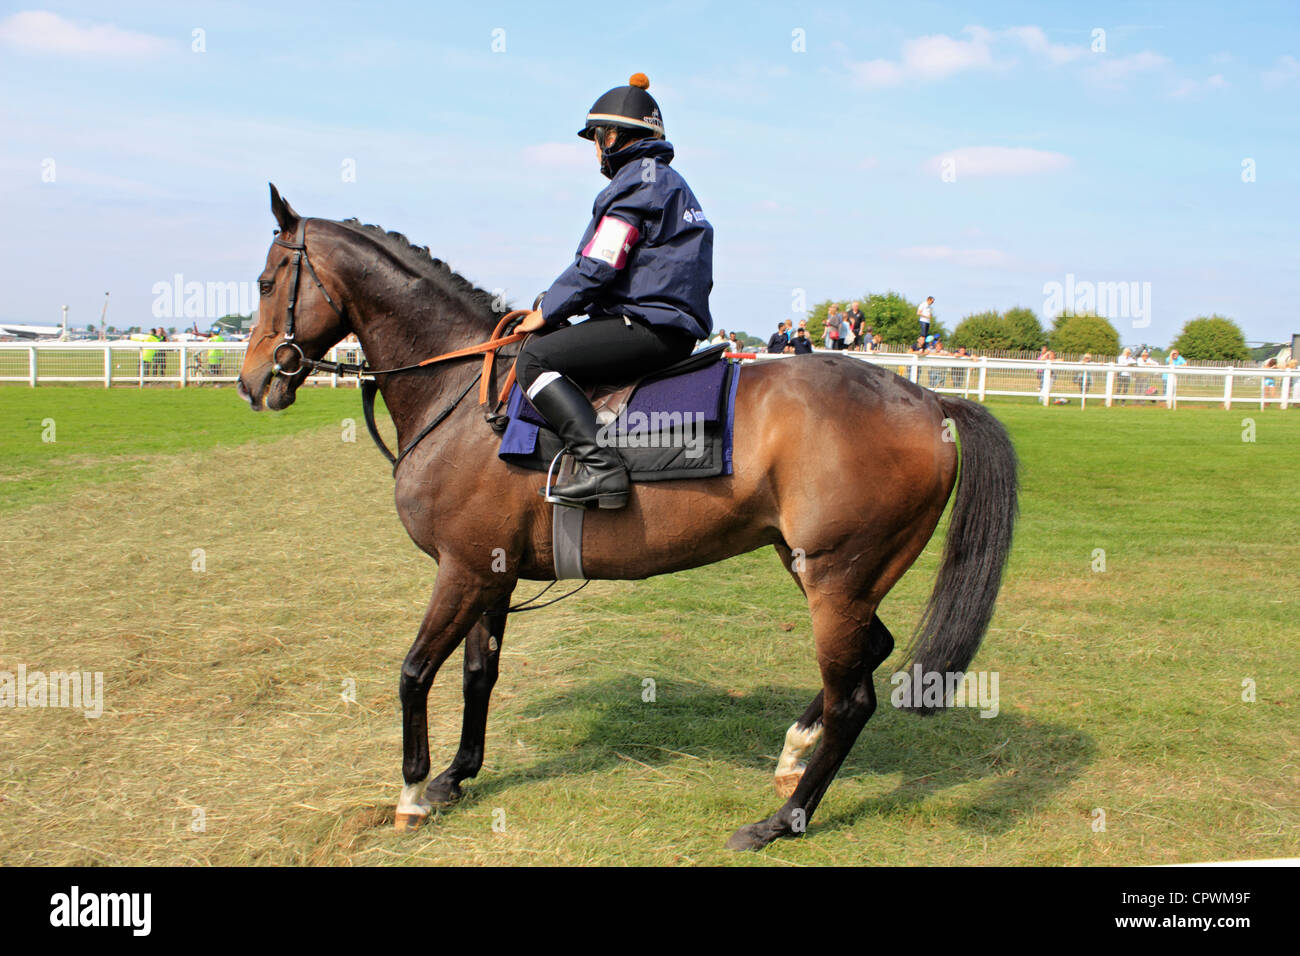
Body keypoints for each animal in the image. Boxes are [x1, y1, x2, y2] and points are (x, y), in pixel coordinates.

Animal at [239, 187, 1019, 853]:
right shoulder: (490, 574)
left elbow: (414, 672)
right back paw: (795, 751)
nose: (254, 383)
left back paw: (779, 823)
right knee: (869, 656)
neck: (460, 395)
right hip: (831, 575)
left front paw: (409, 793)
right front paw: (455, 776)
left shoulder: (461, 571)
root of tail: (929, 403)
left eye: (267, 281)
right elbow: (477, 674)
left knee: (853, 697)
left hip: (836, 578)